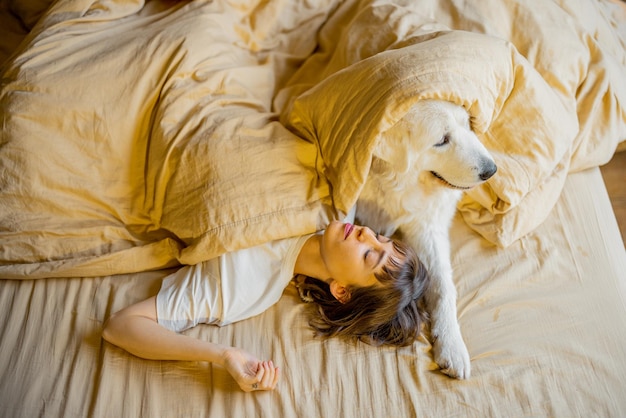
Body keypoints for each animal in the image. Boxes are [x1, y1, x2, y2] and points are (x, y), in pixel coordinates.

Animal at [354, 99, 494, 378]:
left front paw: (451, 343)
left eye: (467, 123)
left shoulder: (426, 229)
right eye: (441, 140)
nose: (492, 170)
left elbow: (443, 286)